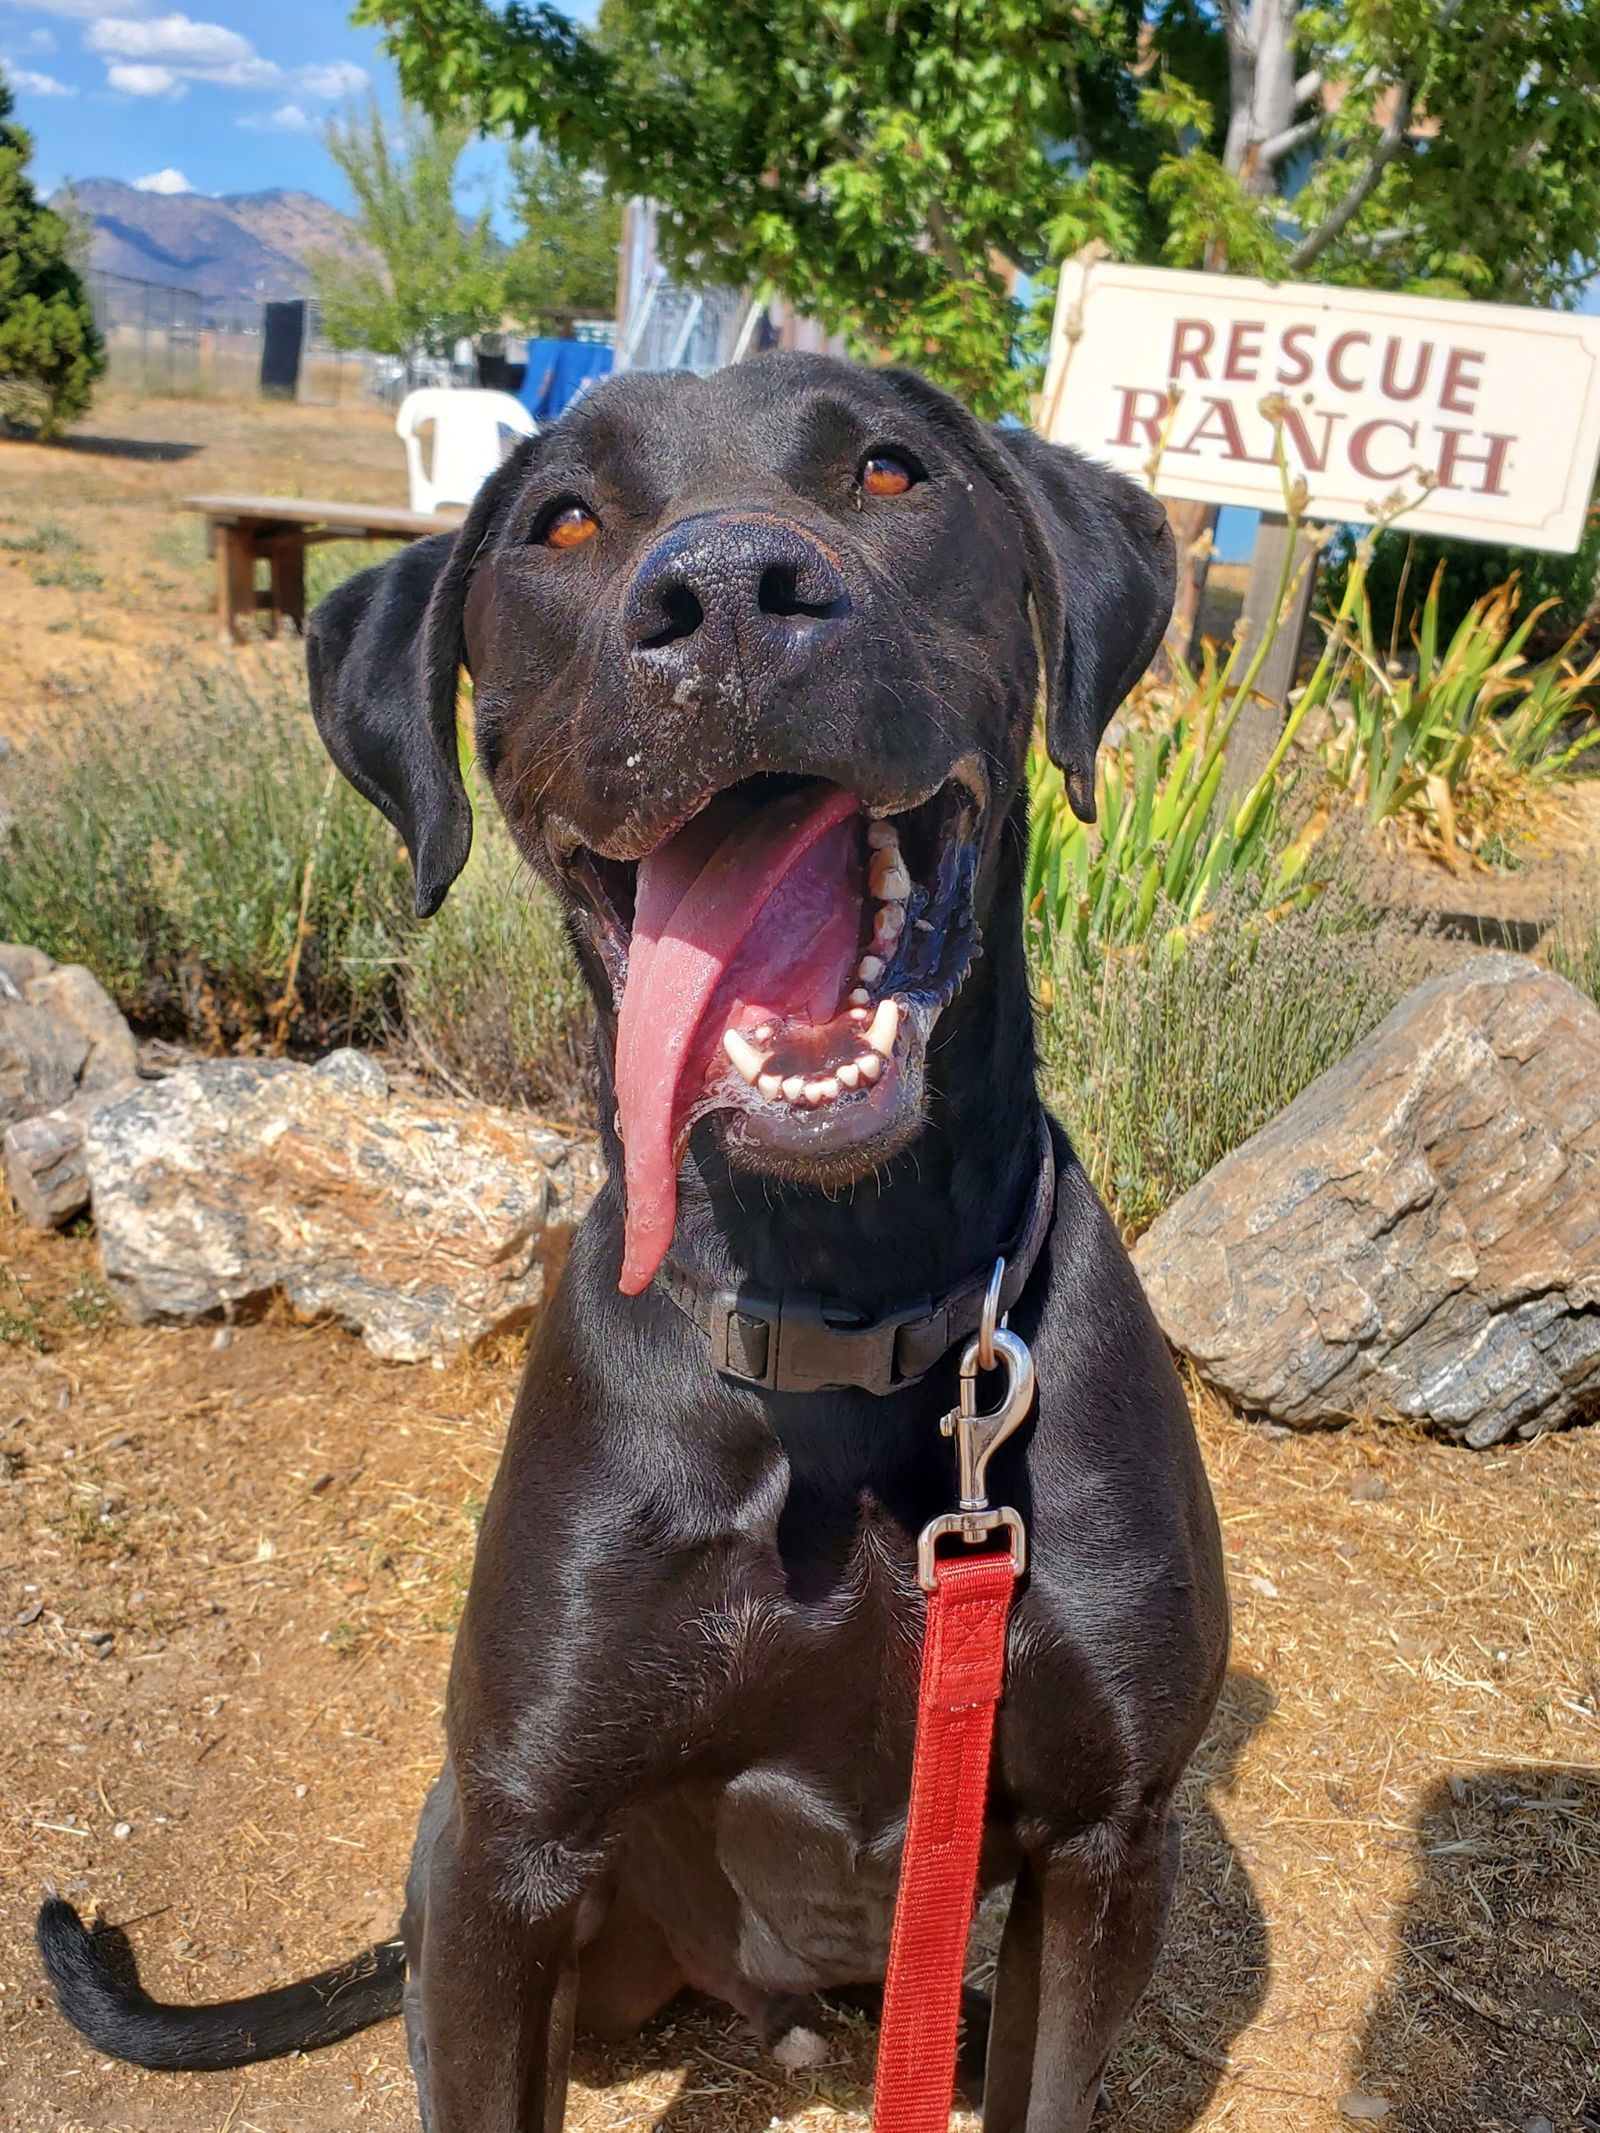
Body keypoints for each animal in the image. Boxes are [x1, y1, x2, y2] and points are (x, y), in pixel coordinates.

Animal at [37, 358, 1228, 2124]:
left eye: (894, 471)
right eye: (564, 522)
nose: (730, 591)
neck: (832, 1309)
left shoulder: (1107, 1846)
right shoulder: (511, 1852)